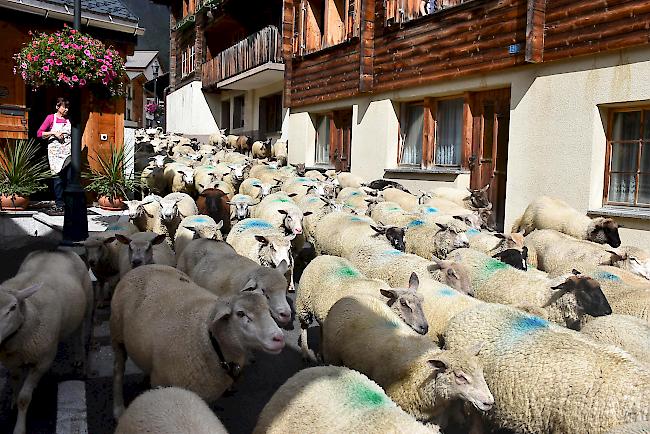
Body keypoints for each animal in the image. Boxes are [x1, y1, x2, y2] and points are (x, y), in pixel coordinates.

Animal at [0, 249, 93, 434]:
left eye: (13, 307)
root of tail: (56, 249)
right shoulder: (12, 363)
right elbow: (15, 384)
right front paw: (13, 402)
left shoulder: (43, 361)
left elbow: (24, 398)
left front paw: (19, 428)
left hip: (86, 306)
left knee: (79, 333)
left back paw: (80, 358)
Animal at [110, 262, 284, 418]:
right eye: (240, 313)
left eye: (268, 310)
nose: (279, 338)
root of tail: (144, 266)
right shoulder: (162, 382)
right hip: (117, 336)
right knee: (118, 371)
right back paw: (118, 409)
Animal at [294, 256, 426, 362]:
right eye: (403, 303)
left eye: (422, 300)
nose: (425, 328)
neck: (383, 300)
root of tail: (321, 256)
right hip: (303, 303)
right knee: (304, 326)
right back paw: (306, 353)